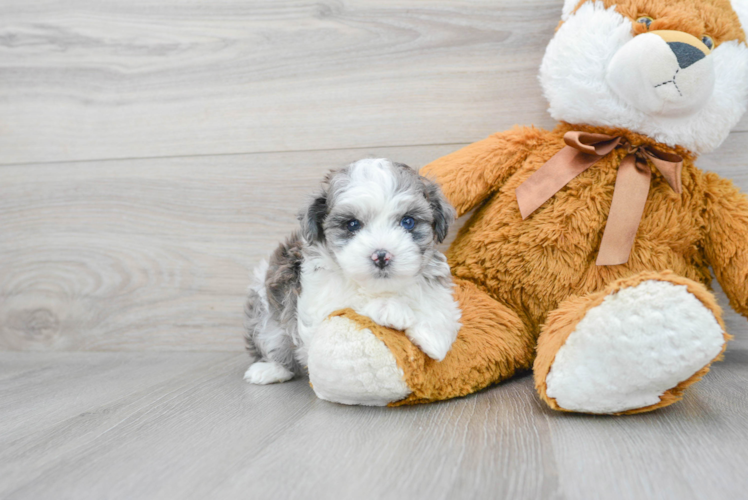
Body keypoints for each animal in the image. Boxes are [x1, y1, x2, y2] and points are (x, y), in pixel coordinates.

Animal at [243, 158, 462, 384]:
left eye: (408, 221)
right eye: (352, 224)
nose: (381, 256)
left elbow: (442, 308)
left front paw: (433, 337)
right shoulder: (319, 302)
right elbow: (350, 303)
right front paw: (391, 309)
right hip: (264, 312)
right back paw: (270, 369)